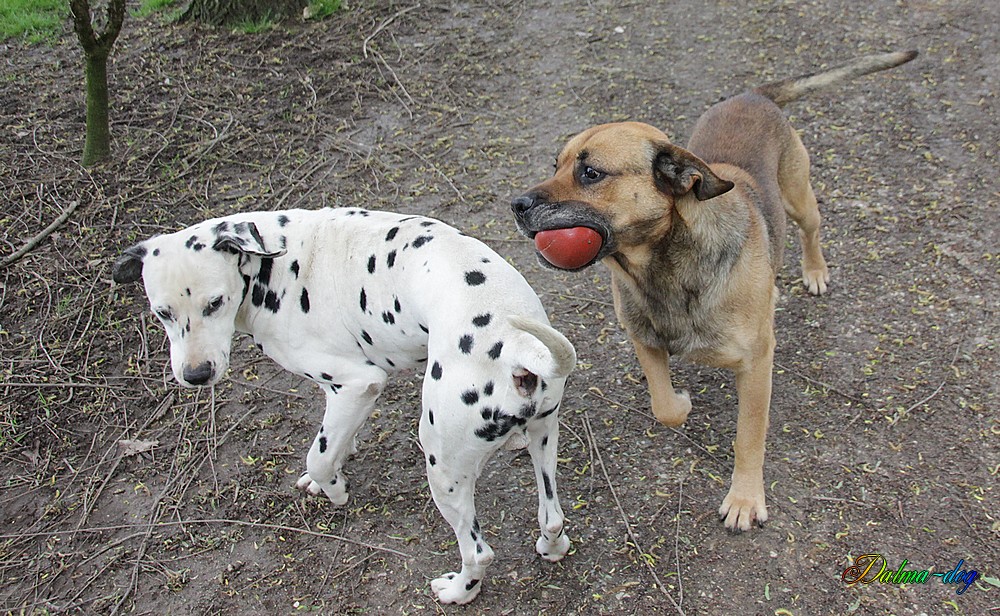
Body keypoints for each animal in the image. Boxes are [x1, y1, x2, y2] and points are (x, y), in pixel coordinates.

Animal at [112, 209, 576, 604]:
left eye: (215, 302)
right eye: (162, 312)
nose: (196, 374)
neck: (275, 262)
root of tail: (516, 344)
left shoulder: (356, 384)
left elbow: (317, 458)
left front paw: (333, 488)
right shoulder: (340, 394)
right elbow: (334, 441)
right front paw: (337, 464)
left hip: (442, 466)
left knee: (478, 552)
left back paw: (459, 590)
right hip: (543, 441)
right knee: (551, 516)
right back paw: (551, 545)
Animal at [512, 50, 916, 528]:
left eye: (590, 173)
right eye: (555, 166)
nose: (516, 205)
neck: (664, 267)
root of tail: (753, 95)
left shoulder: (756, 366)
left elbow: (749, 436)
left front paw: (744, 498)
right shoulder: (645, 339)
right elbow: (664, 407)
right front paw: (682, 403)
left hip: (799, 198)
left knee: (811, 231)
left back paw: (815, 271)